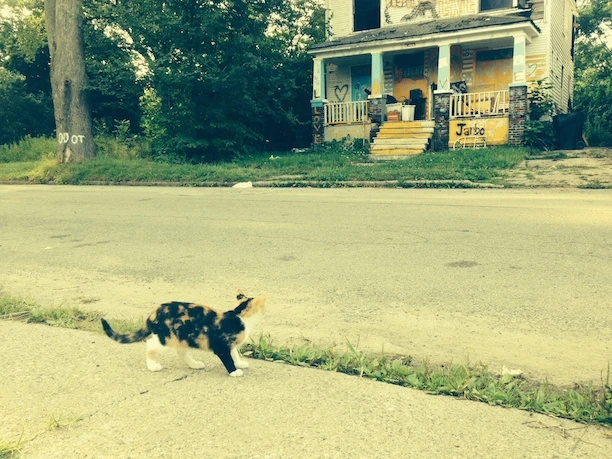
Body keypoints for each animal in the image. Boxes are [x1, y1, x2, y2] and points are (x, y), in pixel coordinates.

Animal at [100, 290, 267, 377]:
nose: (266, 311)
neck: (239, 316)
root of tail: (154, 313)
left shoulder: (230, 343)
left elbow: (234, 353)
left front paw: (240, 363)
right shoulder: (221, 344)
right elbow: (228, 357)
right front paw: (234, 371)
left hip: (183, 337)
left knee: (181, 352)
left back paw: (194, 364)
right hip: (167, 337)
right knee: (150, 345)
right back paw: (152, 365)